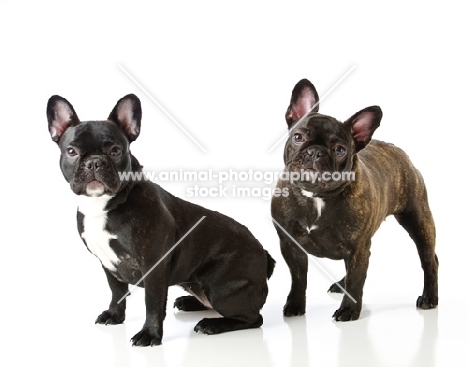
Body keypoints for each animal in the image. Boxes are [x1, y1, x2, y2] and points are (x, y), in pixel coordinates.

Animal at [46, 93, 274, 346]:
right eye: (71, 151)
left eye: (115, 151)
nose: (95, 162)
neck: (104, 205)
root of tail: (264, 254)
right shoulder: (107, 263)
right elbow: (116, 292)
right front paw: (115, 315)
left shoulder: (154, 265)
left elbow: (152, 302)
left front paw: (150, 334)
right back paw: (190, 302)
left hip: (220, 288)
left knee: (252, 318)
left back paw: (212, 324)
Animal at [270, 79, 438, 320]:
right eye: (298, 137)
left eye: (340, 150)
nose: (315, 152)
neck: (316, 196)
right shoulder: (291, 244)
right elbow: (299, 278)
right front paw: (295, 305)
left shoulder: (358, 247)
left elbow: (356, 281)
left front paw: (349, 310)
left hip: (418, 220)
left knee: (429, 260)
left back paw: (429, 297)